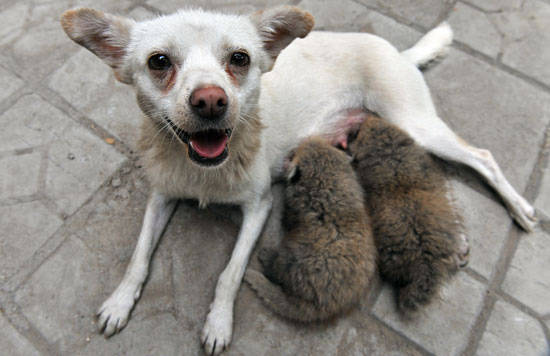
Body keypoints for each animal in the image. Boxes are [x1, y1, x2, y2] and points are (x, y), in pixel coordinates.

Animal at [60, 4, 540, 354]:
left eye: (240, 58)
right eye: (158, 62)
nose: (211, 101)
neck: (203, 172)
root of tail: (400, 55)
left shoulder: (259, 207)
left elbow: (229, 273)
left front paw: (218, 322)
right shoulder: (160, 196)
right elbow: (139, 256)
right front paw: (119, 302)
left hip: (415, 123)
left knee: (482, 158)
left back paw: (520, 209)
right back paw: (457, 241)